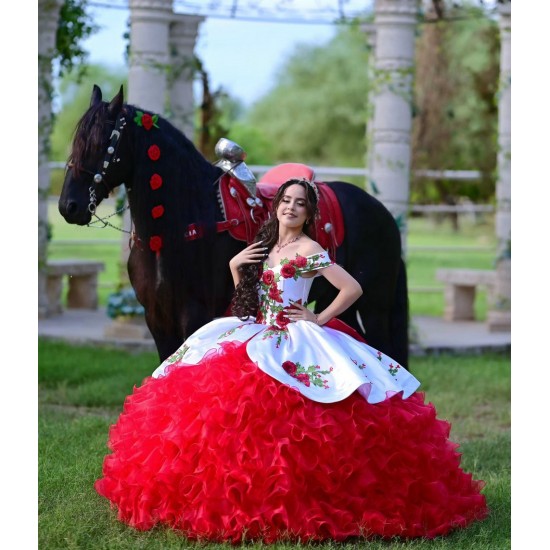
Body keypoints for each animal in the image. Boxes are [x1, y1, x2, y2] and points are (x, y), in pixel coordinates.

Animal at [59, 86, 410, 368]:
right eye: (75, 142)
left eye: (102, 142)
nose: (68, 206)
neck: (174, 230)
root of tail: (383, 213)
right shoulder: (156, 317)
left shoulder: (194, 314)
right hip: (338, 303)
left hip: (374, 305)